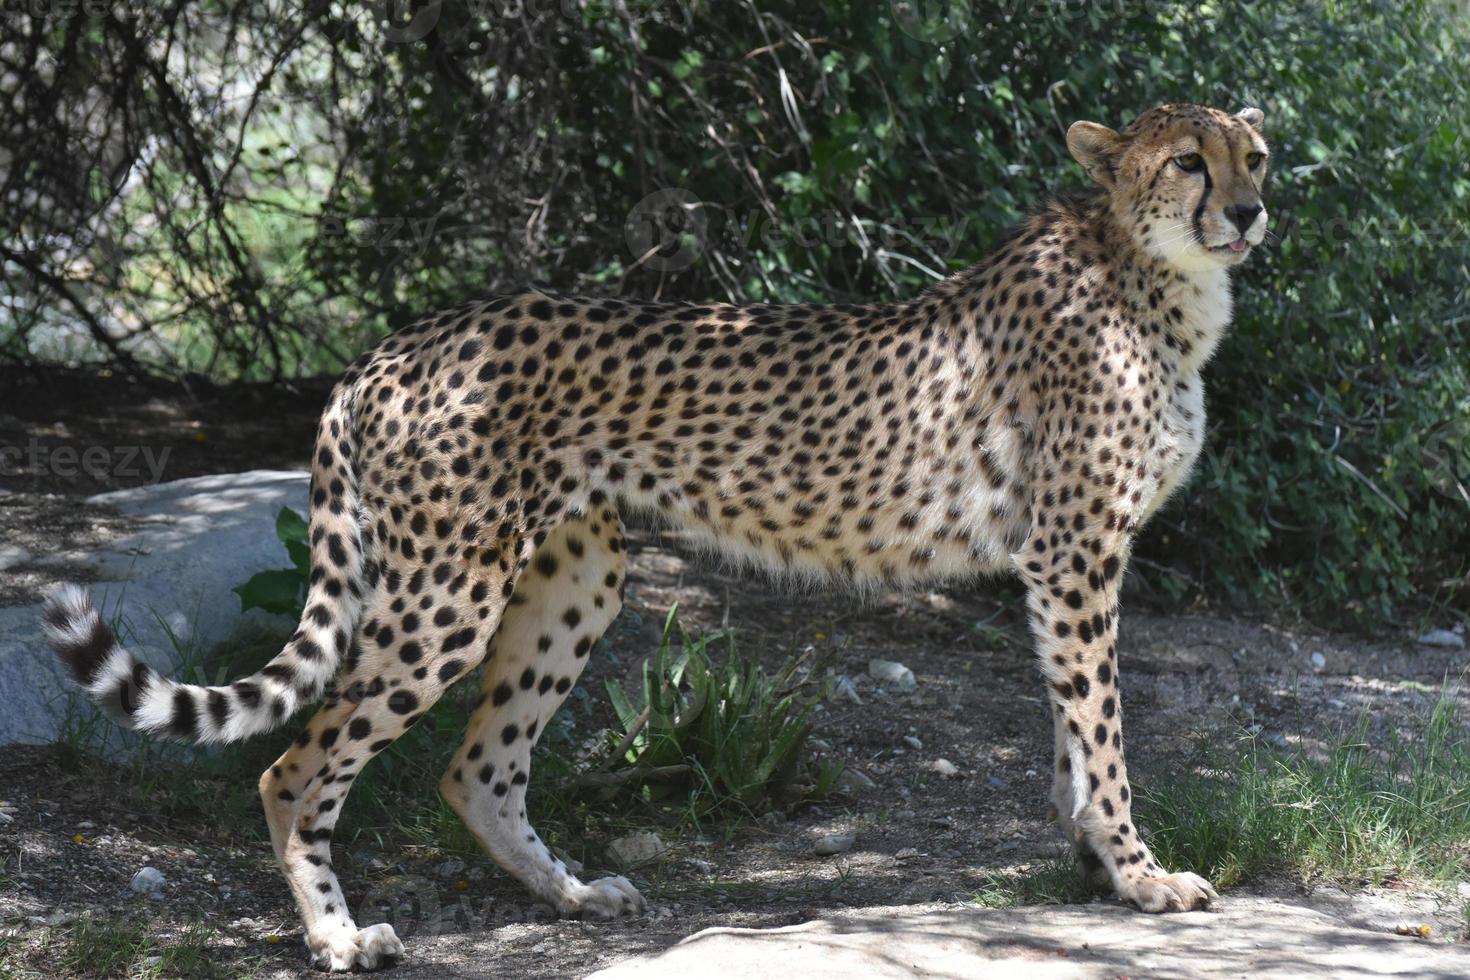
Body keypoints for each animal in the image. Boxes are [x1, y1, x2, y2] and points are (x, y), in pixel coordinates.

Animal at [45, 103, 1264, 969]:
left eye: (1254, 155)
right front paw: (1141, 874)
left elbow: (1073, 725)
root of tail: (394, 345)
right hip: (447, 592)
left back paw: (575, 894)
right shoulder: (1076, 552)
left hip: (574, 578)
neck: (1159, 279)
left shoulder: (1064, 560)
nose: (1251, 213)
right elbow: (1102, 726)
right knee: (293, 765)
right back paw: (339, 936)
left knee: (476, 768)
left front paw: (1093, 861)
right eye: (1187, 162)